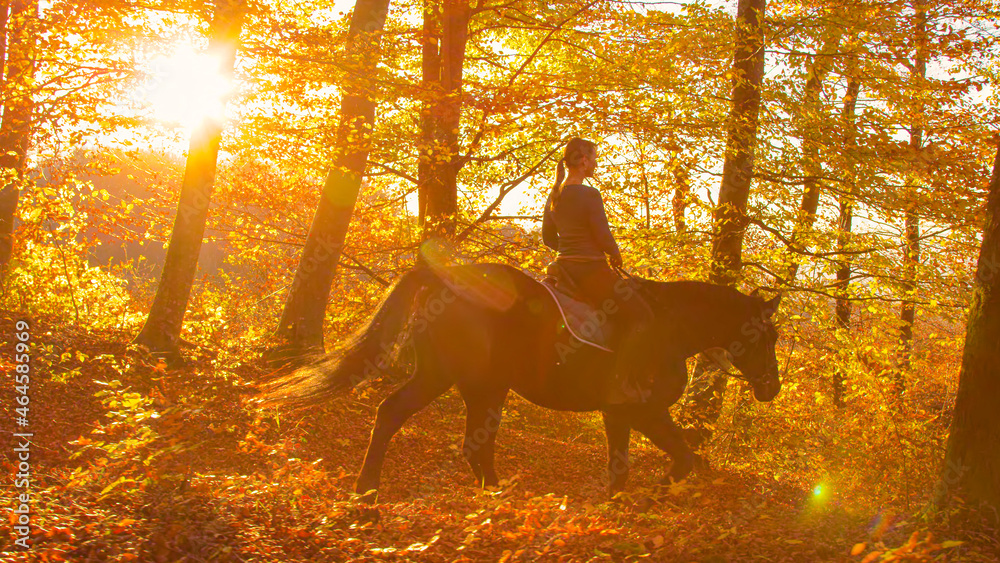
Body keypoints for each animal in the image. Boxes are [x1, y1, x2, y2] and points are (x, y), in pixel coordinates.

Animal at [264, 264, 780, 502]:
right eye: (768, 335)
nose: (771, 388)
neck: (671, 326)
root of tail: (444, 278)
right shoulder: (642, 411)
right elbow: (675, 459)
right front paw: (648, 497)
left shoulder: (625, 414)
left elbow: (638, 464)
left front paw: (622, 504)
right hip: (442, 377)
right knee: (391, 414)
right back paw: (367, 491)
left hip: (486, 387)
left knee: (477, 446)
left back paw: (497, 498)